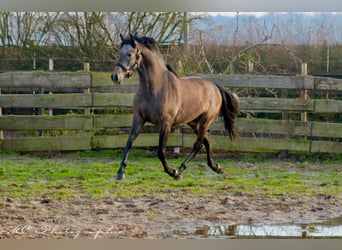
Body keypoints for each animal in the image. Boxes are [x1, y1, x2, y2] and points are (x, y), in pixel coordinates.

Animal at [111, 33, 239, 180]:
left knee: (198, 144)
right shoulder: (139, 119)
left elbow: (160, 151)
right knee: (206, 140)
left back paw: (181, 169)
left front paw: (172, 172)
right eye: (120, 53)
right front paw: (120, 172)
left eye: (129, 54)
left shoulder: (165, 124)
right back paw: (215, 167)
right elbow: (129, 142)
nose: (115, 76)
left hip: (206, 120)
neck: (155, 88)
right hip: (193, 122)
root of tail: (215, 87)